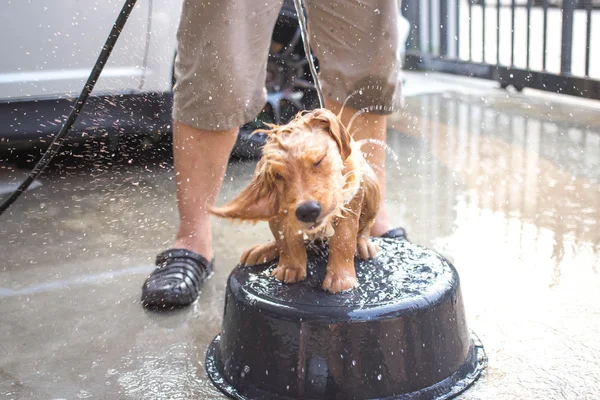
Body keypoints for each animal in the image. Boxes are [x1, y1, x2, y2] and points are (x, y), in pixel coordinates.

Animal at [211, 108, 380, 292]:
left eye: (319, 160)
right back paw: (263, 250)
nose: (308, 211)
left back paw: (363, 244)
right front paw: (290, 267)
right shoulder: (279, 208)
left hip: (371, 183)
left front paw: (341, 278)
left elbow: (345, 237)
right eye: (278, 176)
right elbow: (286, 239)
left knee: (365, 227)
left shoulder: (351, 195)